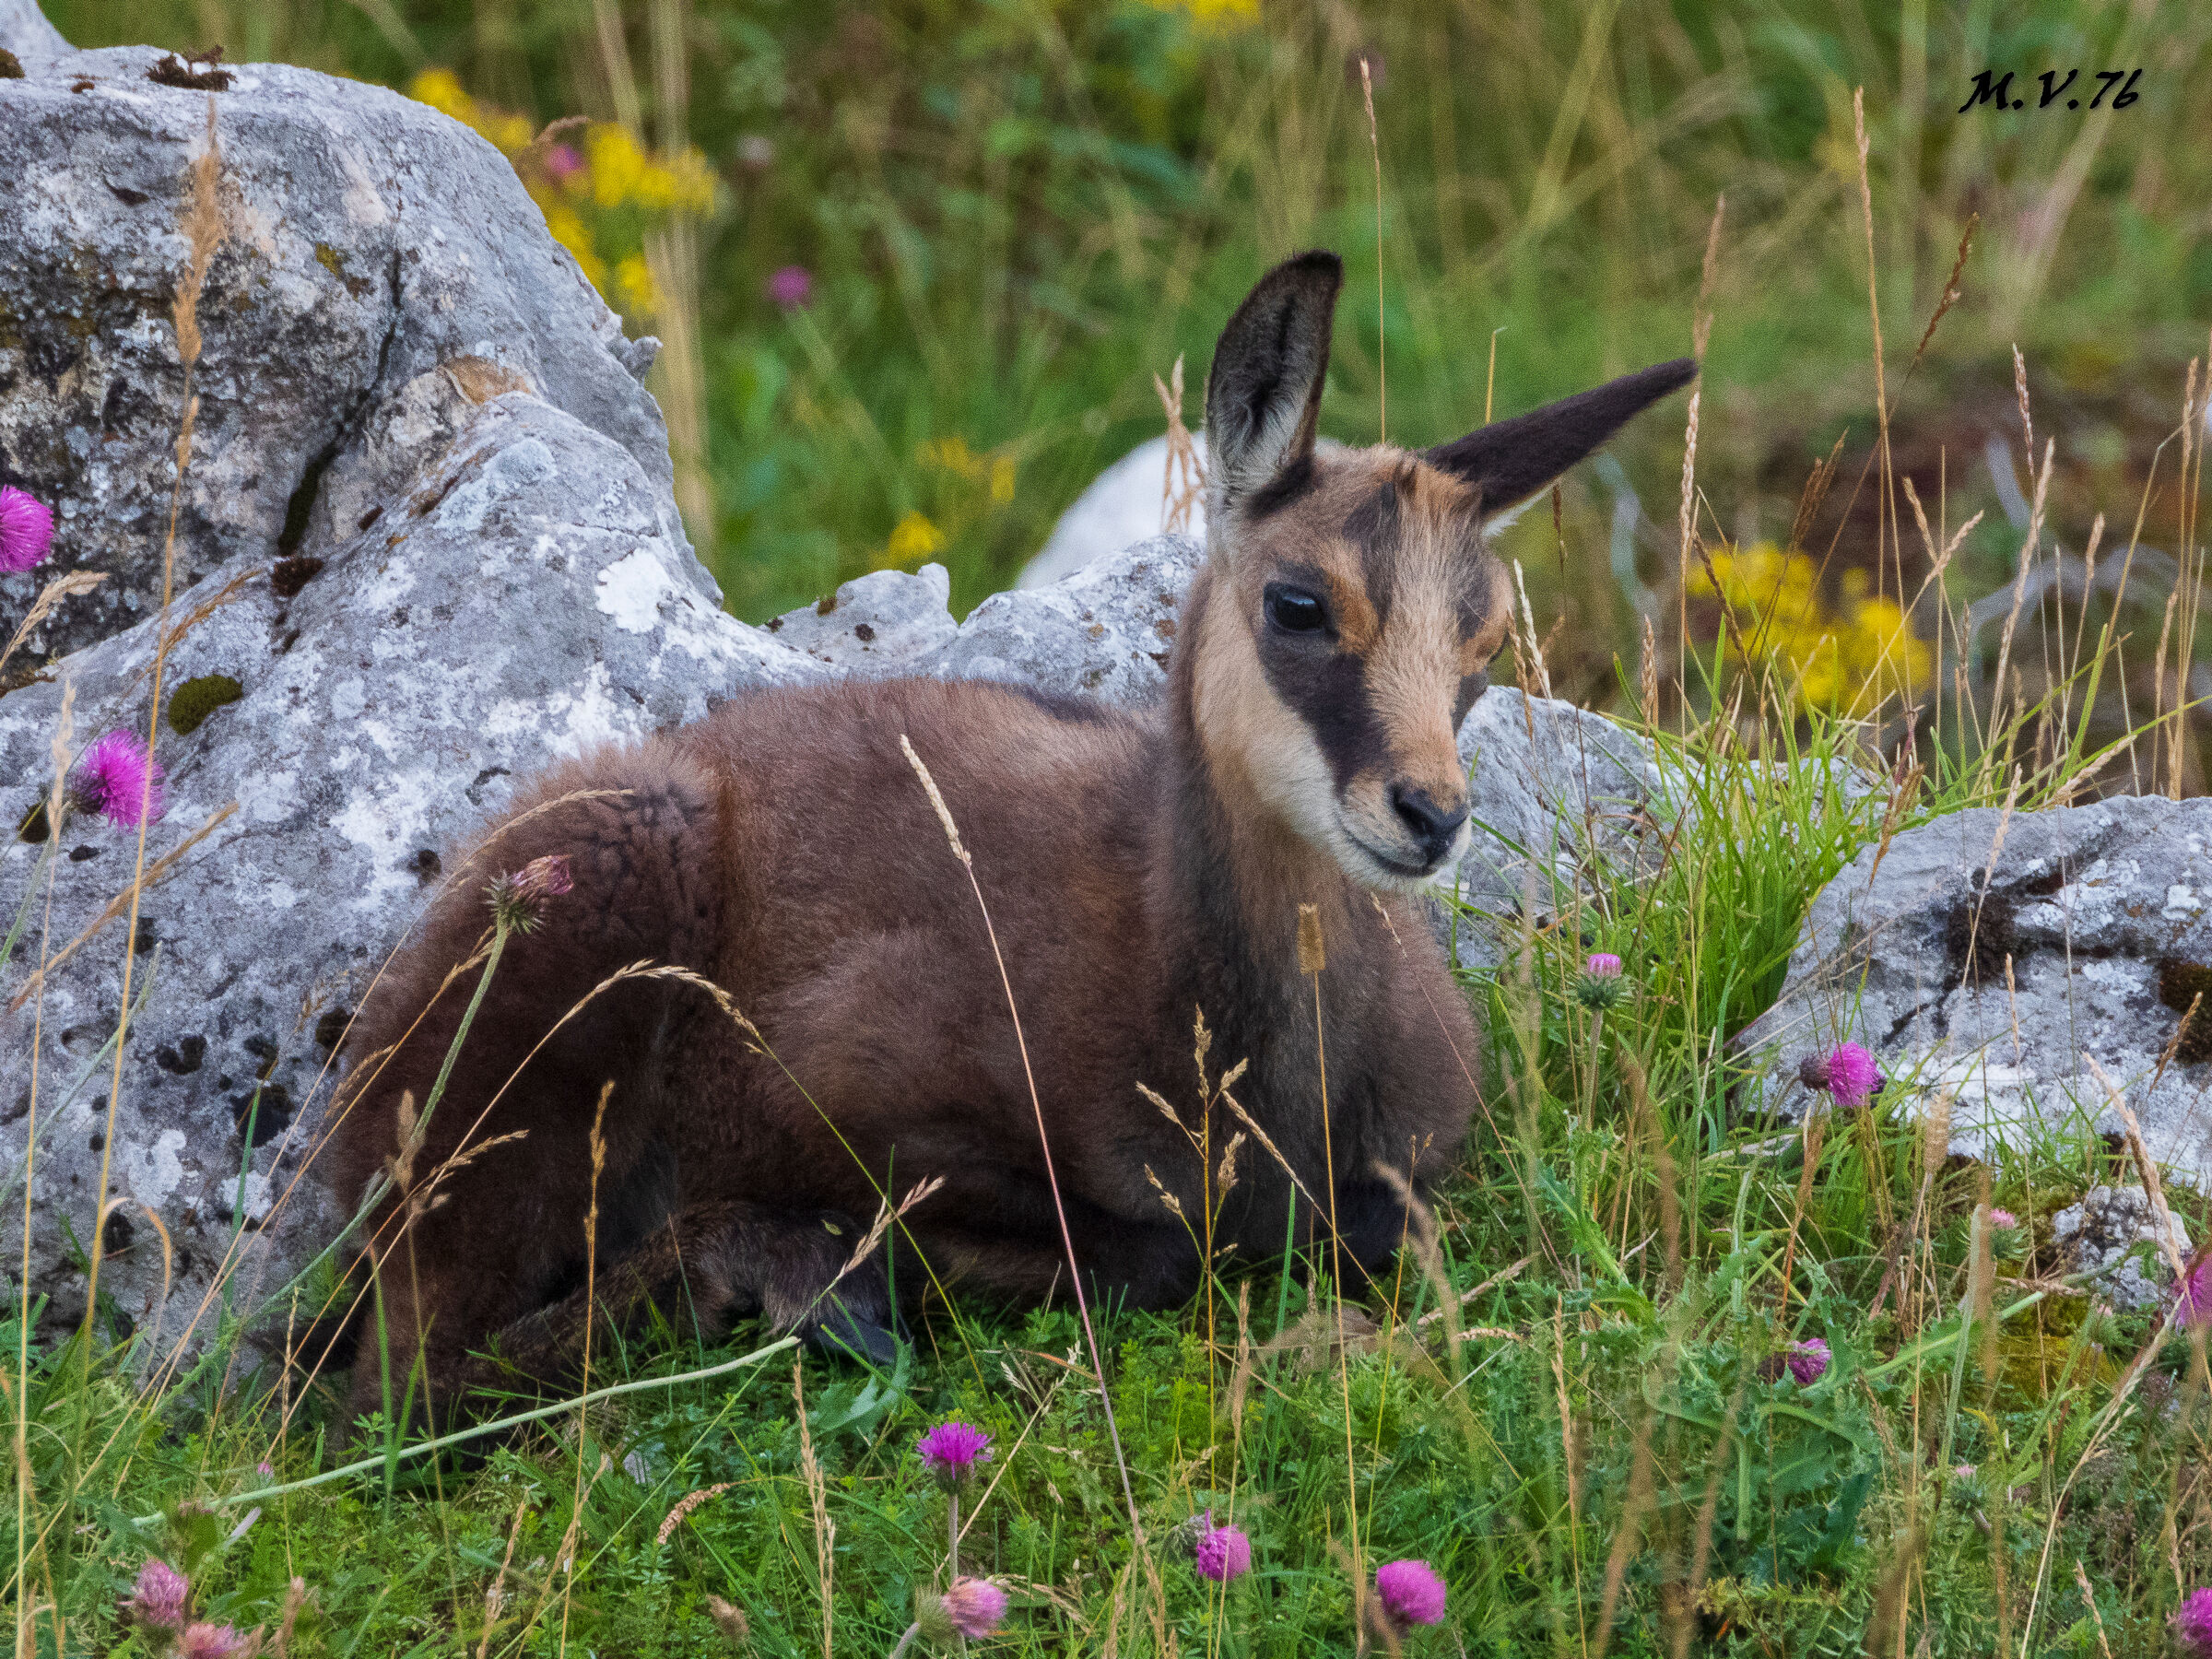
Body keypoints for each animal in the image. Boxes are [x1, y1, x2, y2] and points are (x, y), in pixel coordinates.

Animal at [321, 251, 1693, 1423]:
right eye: (1300, 605)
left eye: (1487, 640)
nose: (1430, 817)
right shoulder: (861, 1111)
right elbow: (1143, 1250)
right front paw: (842, 1269)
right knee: (399, 1382)